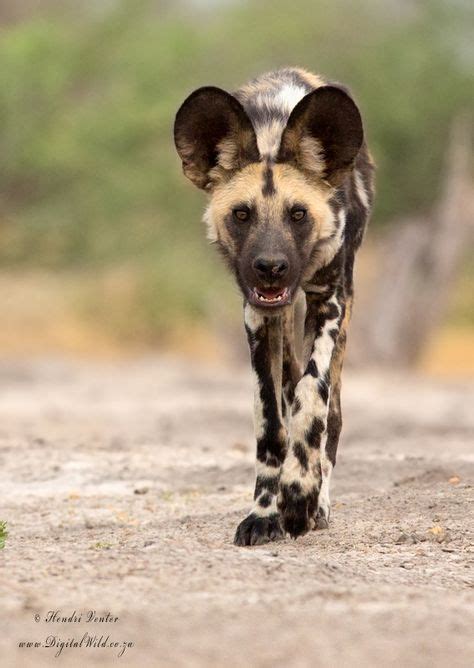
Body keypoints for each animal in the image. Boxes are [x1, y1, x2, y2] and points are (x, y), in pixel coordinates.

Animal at [173, 68, 374, 544]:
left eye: (297, 214)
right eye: (241, 214)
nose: (270, 267)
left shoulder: (329, 300)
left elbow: (311, 398)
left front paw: (300, 494)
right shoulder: (258, 315)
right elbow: (270, 423)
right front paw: (266, 512)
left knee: (331, 411)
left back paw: (319, 501)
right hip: (278, 317)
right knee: (288, 386)